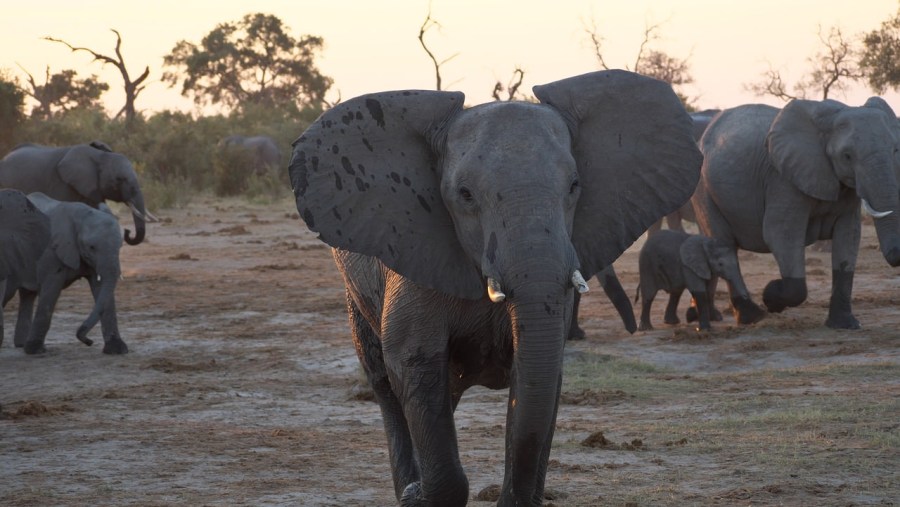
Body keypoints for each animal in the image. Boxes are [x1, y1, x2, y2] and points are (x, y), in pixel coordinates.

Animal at [288, 69, 704, 506]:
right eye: (465, 195)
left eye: (575, 185)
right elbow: (414, 362)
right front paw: (421, 494)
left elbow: (539, 372)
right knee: (385, 384)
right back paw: (409, 486)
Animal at [696, 98, 900, 330]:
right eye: (847, 156)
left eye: (895, 150)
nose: (896, 255)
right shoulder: (782, 179)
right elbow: (780, 234)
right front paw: (771, 297)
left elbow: (848, 236)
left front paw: (845, 325)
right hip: (704, 190)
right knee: (724, 246)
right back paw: (754, 316)